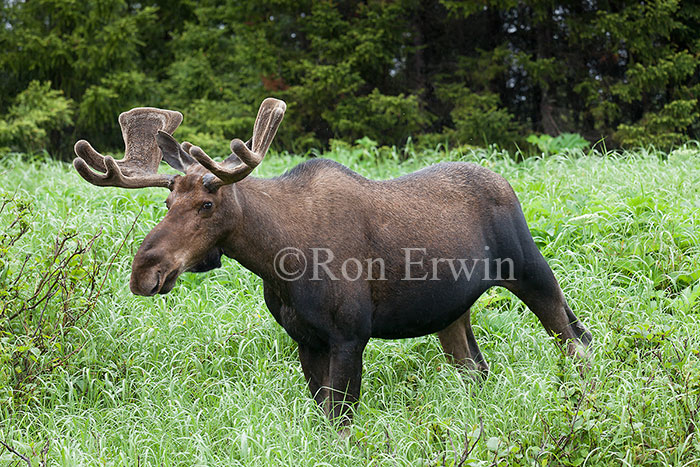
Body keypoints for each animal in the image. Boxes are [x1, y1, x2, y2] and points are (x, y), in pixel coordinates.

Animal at [74, 98, 592, 428]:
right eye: (166, 203)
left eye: (207, 204)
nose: (145, 272)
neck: (278, 261)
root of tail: (505, 181)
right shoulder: (305, 339)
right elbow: (324, 417)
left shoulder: (350, 334)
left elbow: (341, 421)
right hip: (451, 311)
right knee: (475, 369)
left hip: (530, 269)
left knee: (576, 338)